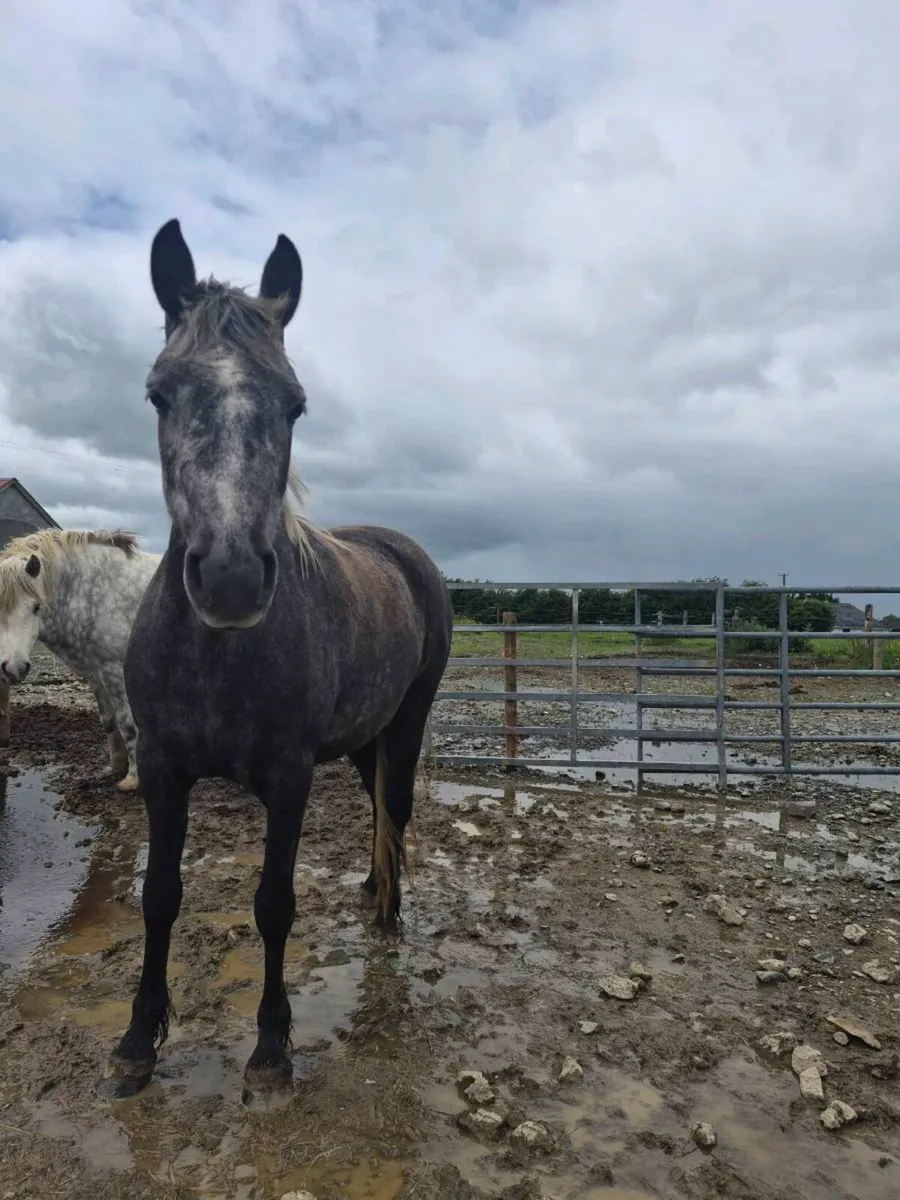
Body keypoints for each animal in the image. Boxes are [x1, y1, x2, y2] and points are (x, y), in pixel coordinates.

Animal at [0, 529, 161, 790]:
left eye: (36, 607)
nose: (13, 668)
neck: (94, 590)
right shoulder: (97, 674)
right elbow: (108, 722)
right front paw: (114, 767)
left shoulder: (114, 672)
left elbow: (126, 724)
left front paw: (132, 779)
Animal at [99, 218, 453, 1109]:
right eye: (159, 393)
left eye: (294, 404)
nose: (229, 578)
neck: (218, 655)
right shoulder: (162, 769)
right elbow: (159, 897)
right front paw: (136, 1042)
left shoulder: (290, 780)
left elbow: (273, 904)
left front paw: (269, 1048)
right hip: (362, 742)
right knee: (376, 814)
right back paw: (370, 889)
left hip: (406, 725)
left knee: (396, 812)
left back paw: (389, 913)